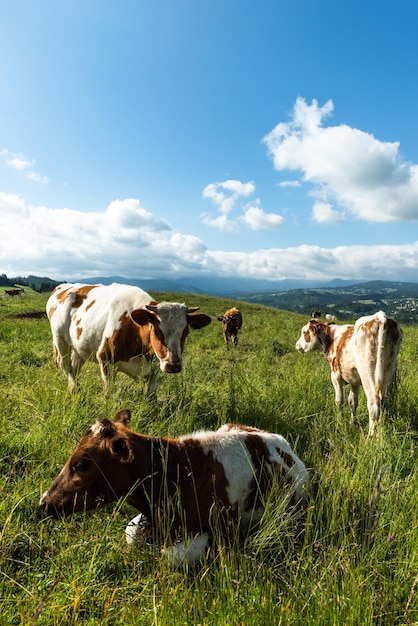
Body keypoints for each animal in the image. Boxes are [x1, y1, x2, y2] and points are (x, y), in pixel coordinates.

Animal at [45, 282, 212, 394]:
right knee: (66, 365)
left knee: (75, 366)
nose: (173, 366)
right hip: (60, 339)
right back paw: (74, 389)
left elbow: (151, 397)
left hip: (79, 346)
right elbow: (109, 396)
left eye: (186, 332)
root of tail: (64, 286)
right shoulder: (105, 359)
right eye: (156, 330)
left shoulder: (155, 368)